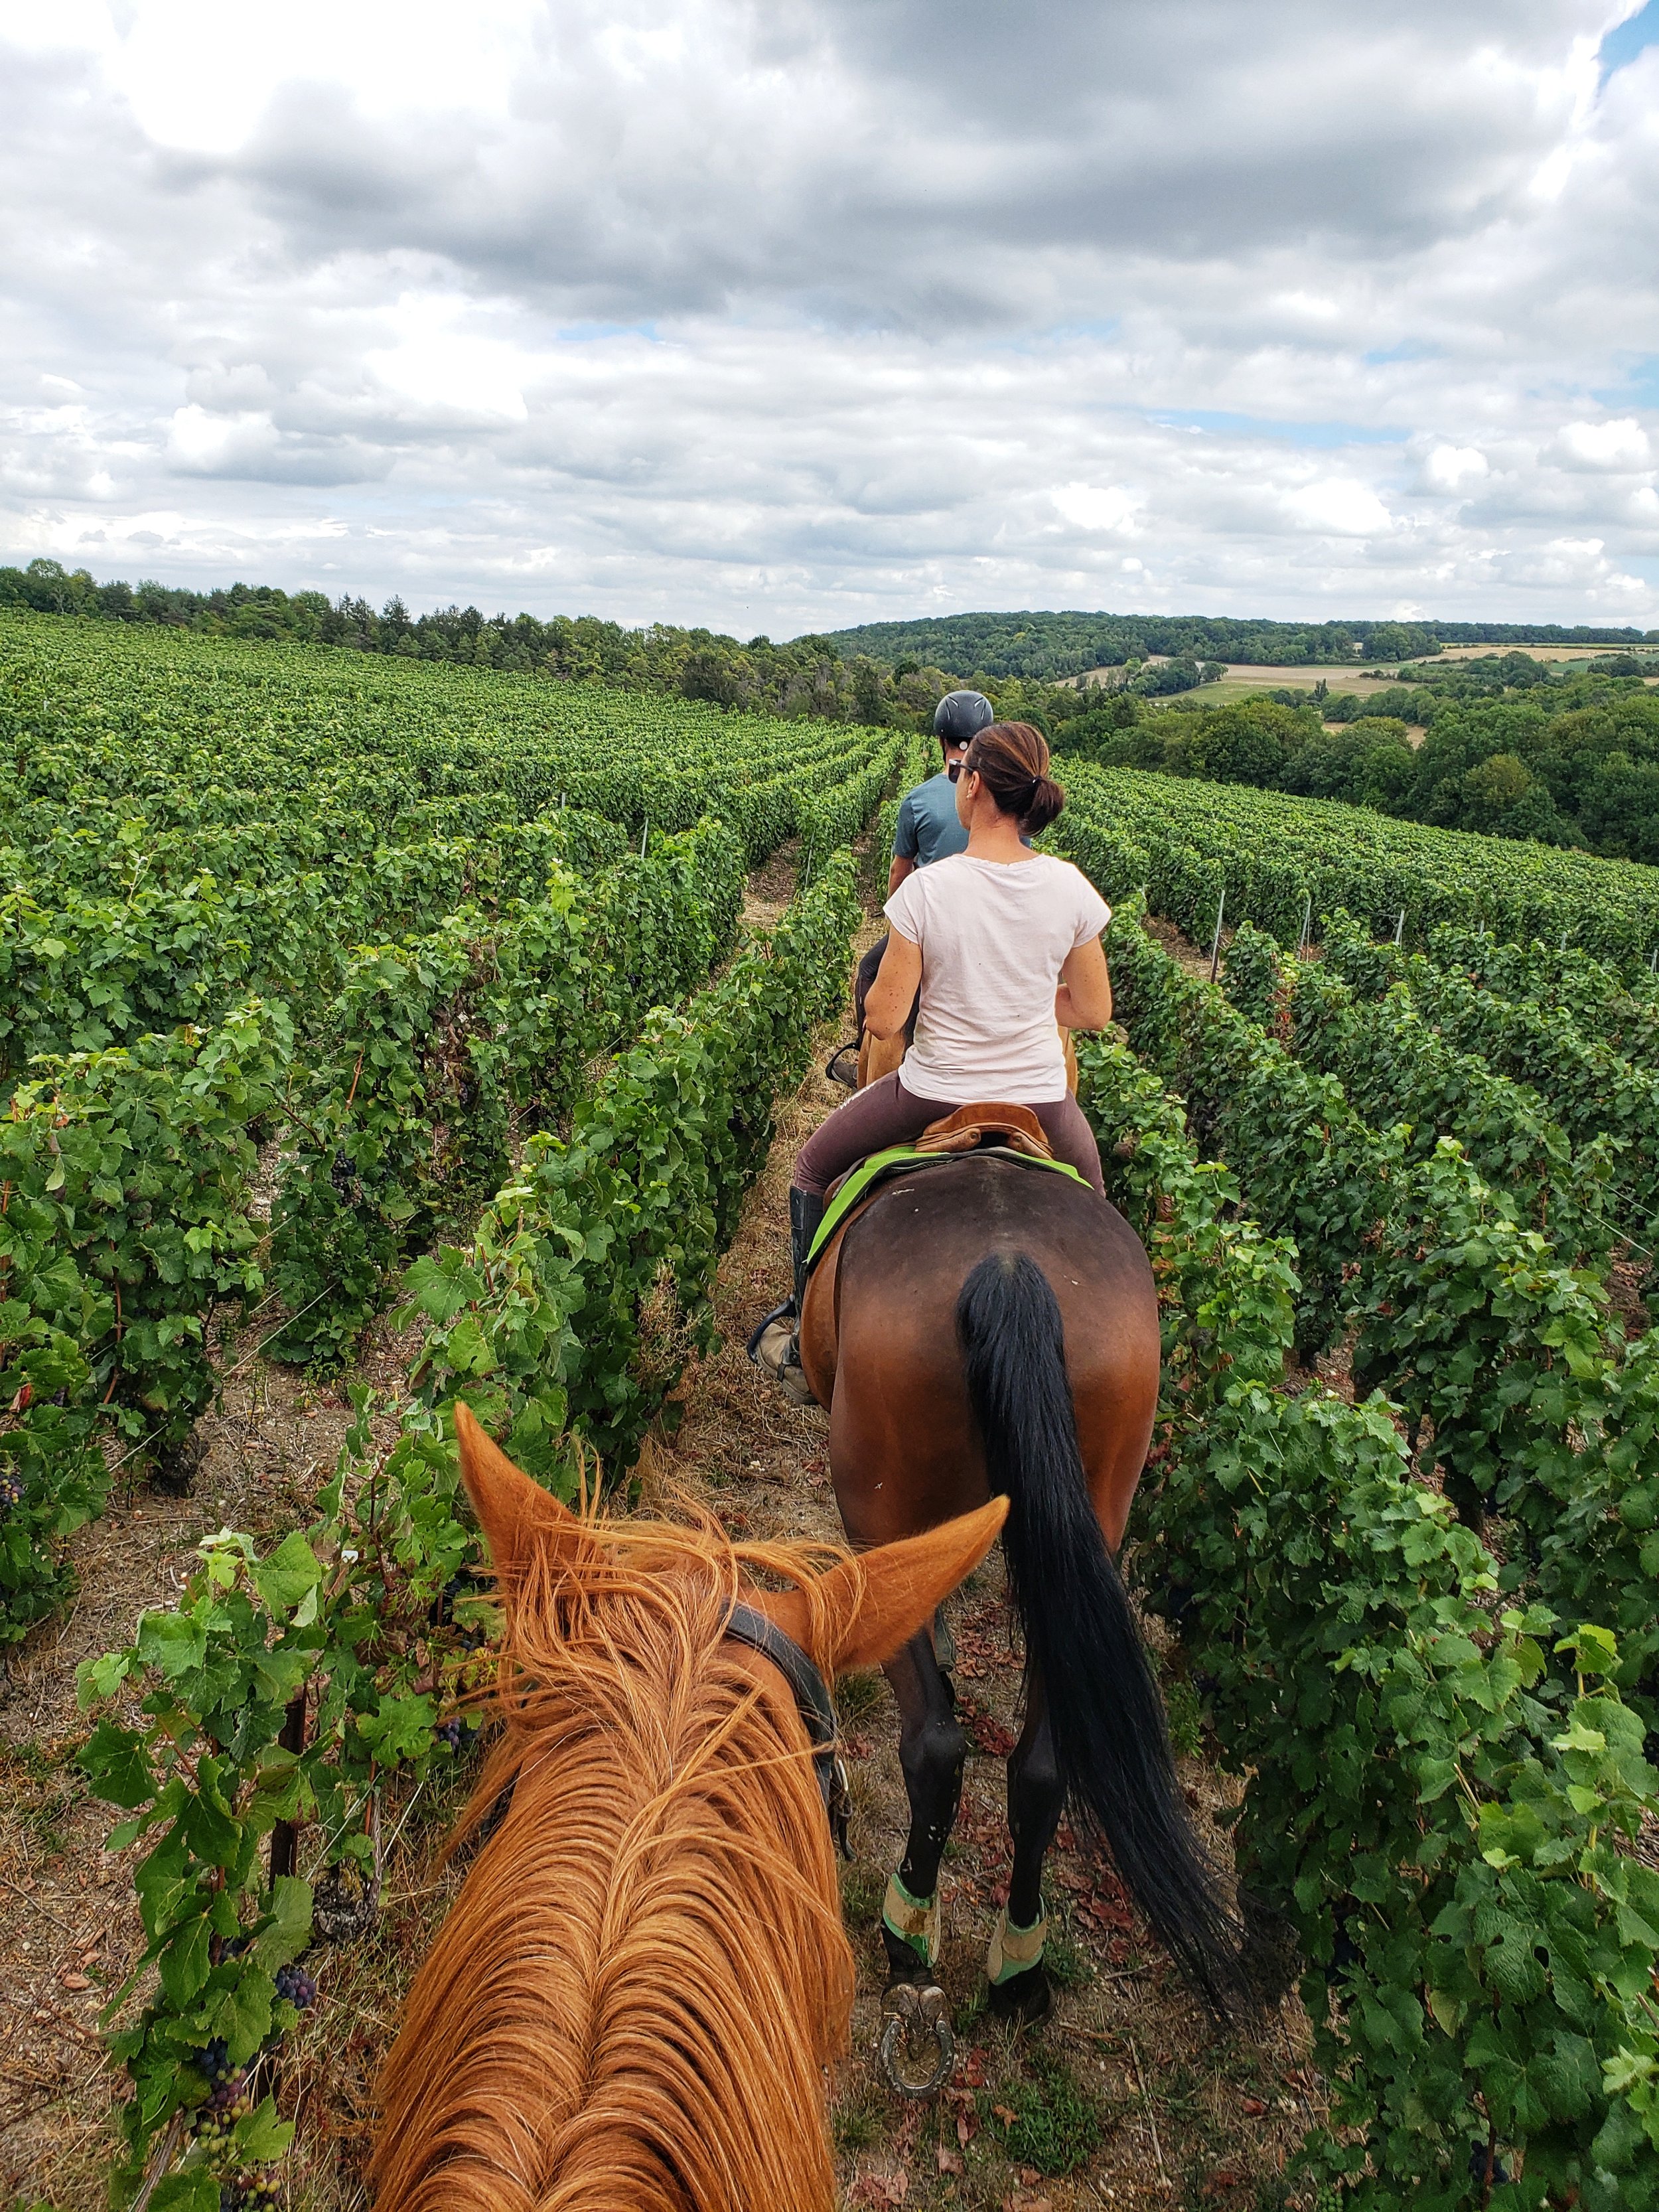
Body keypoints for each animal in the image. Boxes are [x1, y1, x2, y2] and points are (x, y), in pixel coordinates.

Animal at [798, 1143, 1254, 2091]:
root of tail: (1010, 1267)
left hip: (878, 1509)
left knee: (934, 1748)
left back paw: (908, 1937)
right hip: (1092, 1524)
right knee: (1044, 1767)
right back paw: (1020, 1967)